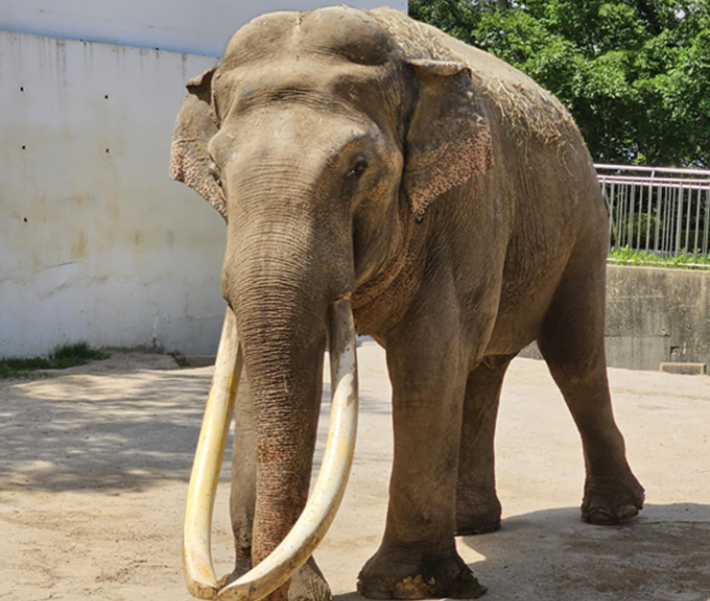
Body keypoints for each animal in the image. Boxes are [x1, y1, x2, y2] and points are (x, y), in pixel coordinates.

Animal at [171, 7, 644, 600]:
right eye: (215, 170)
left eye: (357, 166)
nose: (227, 585)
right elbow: (262, 376)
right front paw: (286, 583)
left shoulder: (460, 208)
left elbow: (427, 359)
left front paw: (407, 584)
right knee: (483, 366)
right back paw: (473, 523)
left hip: (584, 225)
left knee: (571, 356)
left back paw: (613, 512)